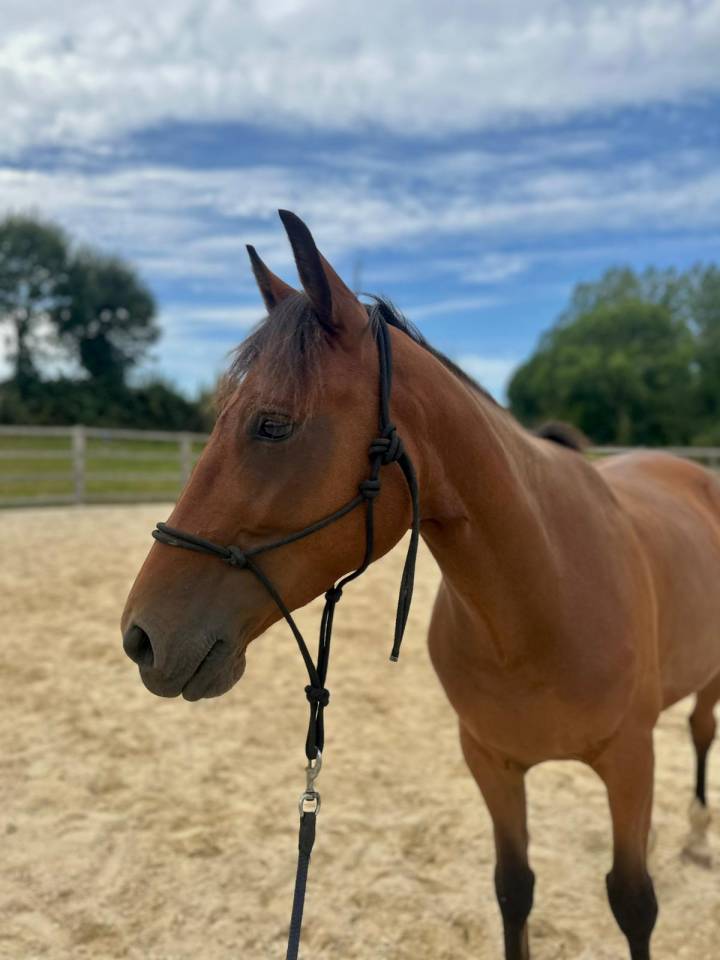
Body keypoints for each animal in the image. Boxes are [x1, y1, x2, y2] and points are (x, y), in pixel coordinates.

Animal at [121, 210, 720, 960]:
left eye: (273, 424)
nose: (141, 637)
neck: (542, 602)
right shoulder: (491, 762)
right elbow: (514, 890)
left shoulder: (631, 763)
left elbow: (633, 903)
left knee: (701, 729)